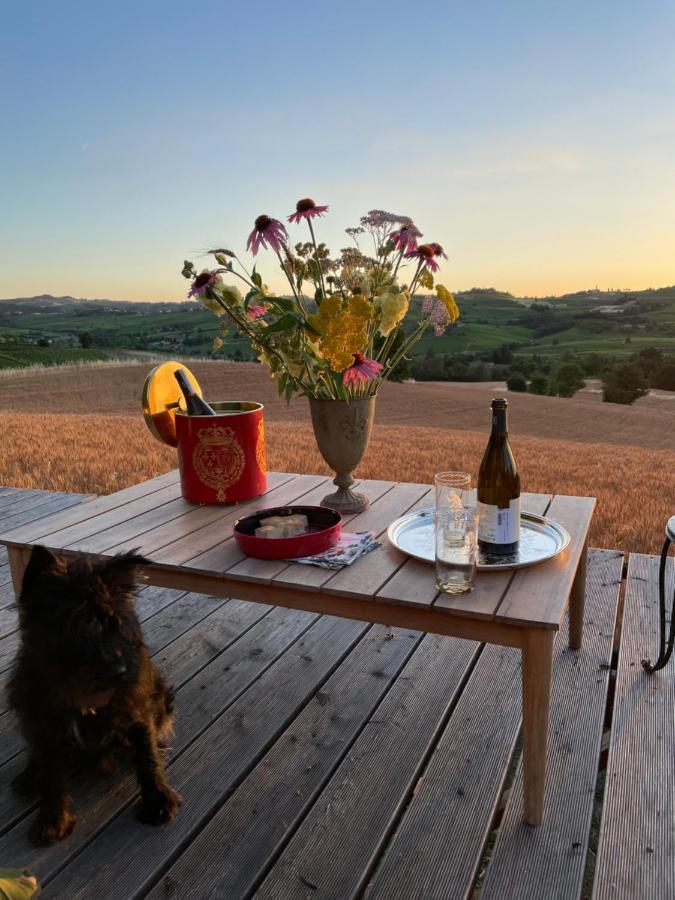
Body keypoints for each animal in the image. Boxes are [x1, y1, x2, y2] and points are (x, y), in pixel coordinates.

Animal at [9, 544, 182, 848]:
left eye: (116, 622)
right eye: (75, 627)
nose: (121, 670)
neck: (86, 699)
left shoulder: (137, 710)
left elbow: (147, 756)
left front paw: (158, 799)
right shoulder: (44, 723)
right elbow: (51, 773)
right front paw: (54, 819)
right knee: (36, 754)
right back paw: (29, 775)